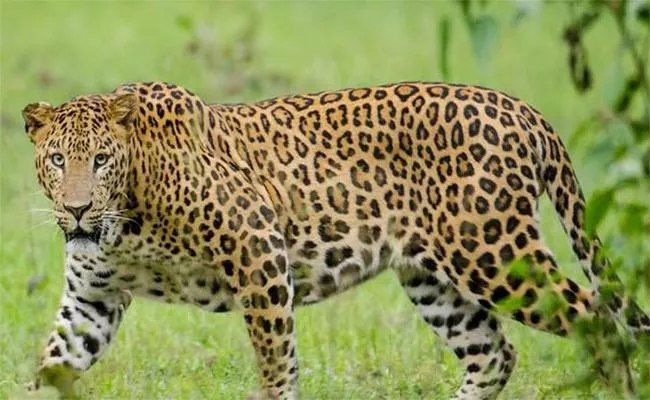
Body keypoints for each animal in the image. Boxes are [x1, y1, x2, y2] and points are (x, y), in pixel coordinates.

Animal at [21, 79, 648, 398]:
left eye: (101, 161)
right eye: (57, 160)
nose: (77, 210)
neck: (126, 220)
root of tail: (523, 109)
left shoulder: (259, 252)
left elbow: (276, 365)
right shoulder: (91, 300)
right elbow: (52, 365)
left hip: (494, 254)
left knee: (598, 319)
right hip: (432, 278)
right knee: (493, 353)